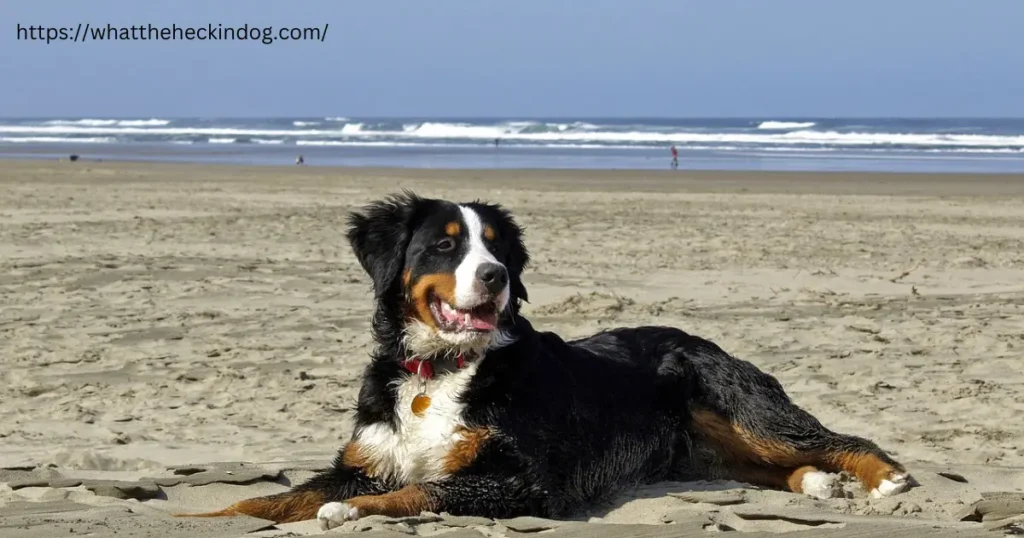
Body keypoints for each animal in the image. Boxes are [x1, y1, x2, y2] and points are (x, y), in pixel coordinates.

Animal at [180, 190, 909, 524]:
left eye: (499, 247)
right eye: (445, 245)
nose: (496, 275)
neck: (442, 370)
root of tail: (699, 338)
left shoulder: (522, 477)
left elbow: (423, 488)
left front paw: (353, 513)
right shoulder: (363, 459)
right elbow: (275, 498)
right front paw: (200, 517)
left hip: (744, 409)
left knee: (838, 438)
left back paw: (884, 477)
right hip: (709, 450)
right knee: (771, 466)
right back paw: (817, 484)